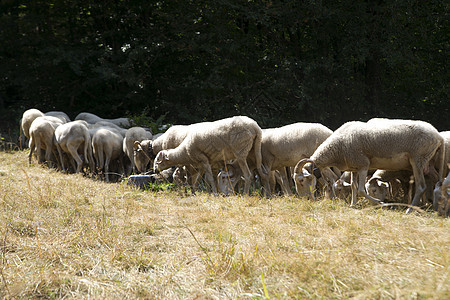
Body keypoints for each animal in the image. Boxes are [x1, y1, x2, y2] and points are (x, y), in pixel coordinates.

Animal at [294, 118, 444, 212]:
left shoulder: (363, 165)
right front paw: (353, 204)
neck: (337, 148)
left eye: (301, 180)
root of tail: (438, 136)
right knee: (437, 181)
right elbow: (354, 186)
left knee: (421, 186)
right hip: (429, 163)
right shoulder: (354, 167)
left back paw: (409, 209)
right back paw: (436, 207)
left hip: (418, 160)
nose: (305, 199)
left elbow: (361, 189)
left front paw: (380, 203)